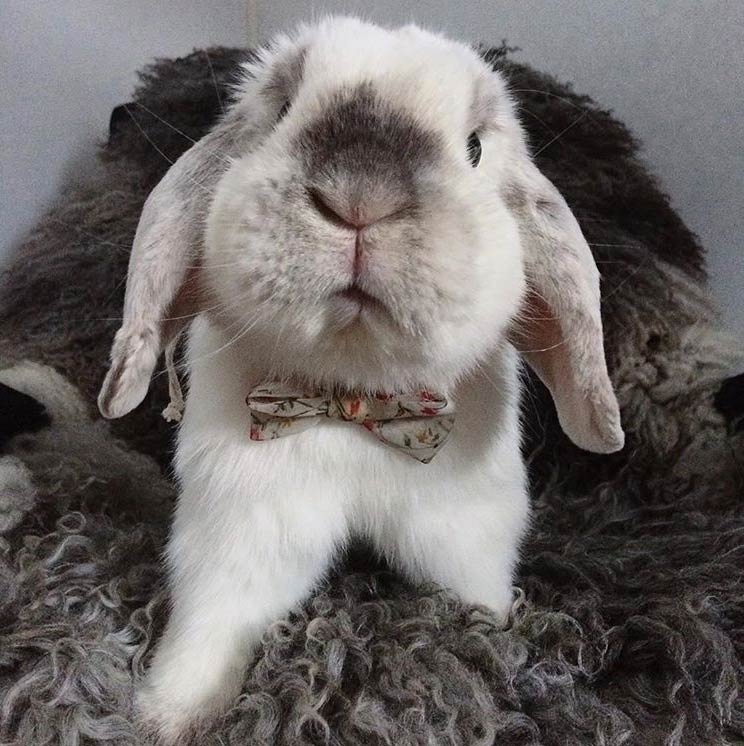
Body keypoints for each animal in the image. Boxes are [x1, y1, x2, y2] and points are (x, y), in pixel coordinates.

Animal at [97, 14, 620, 740]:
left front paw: (497, 641)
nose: (360, 196)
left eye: (475, 147)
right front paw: (167, 715)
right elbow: (213, 619)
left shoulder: (464, 532)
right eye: (282, 109)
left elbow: (477, 602)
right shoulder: (241, 529)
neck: (353, 401)